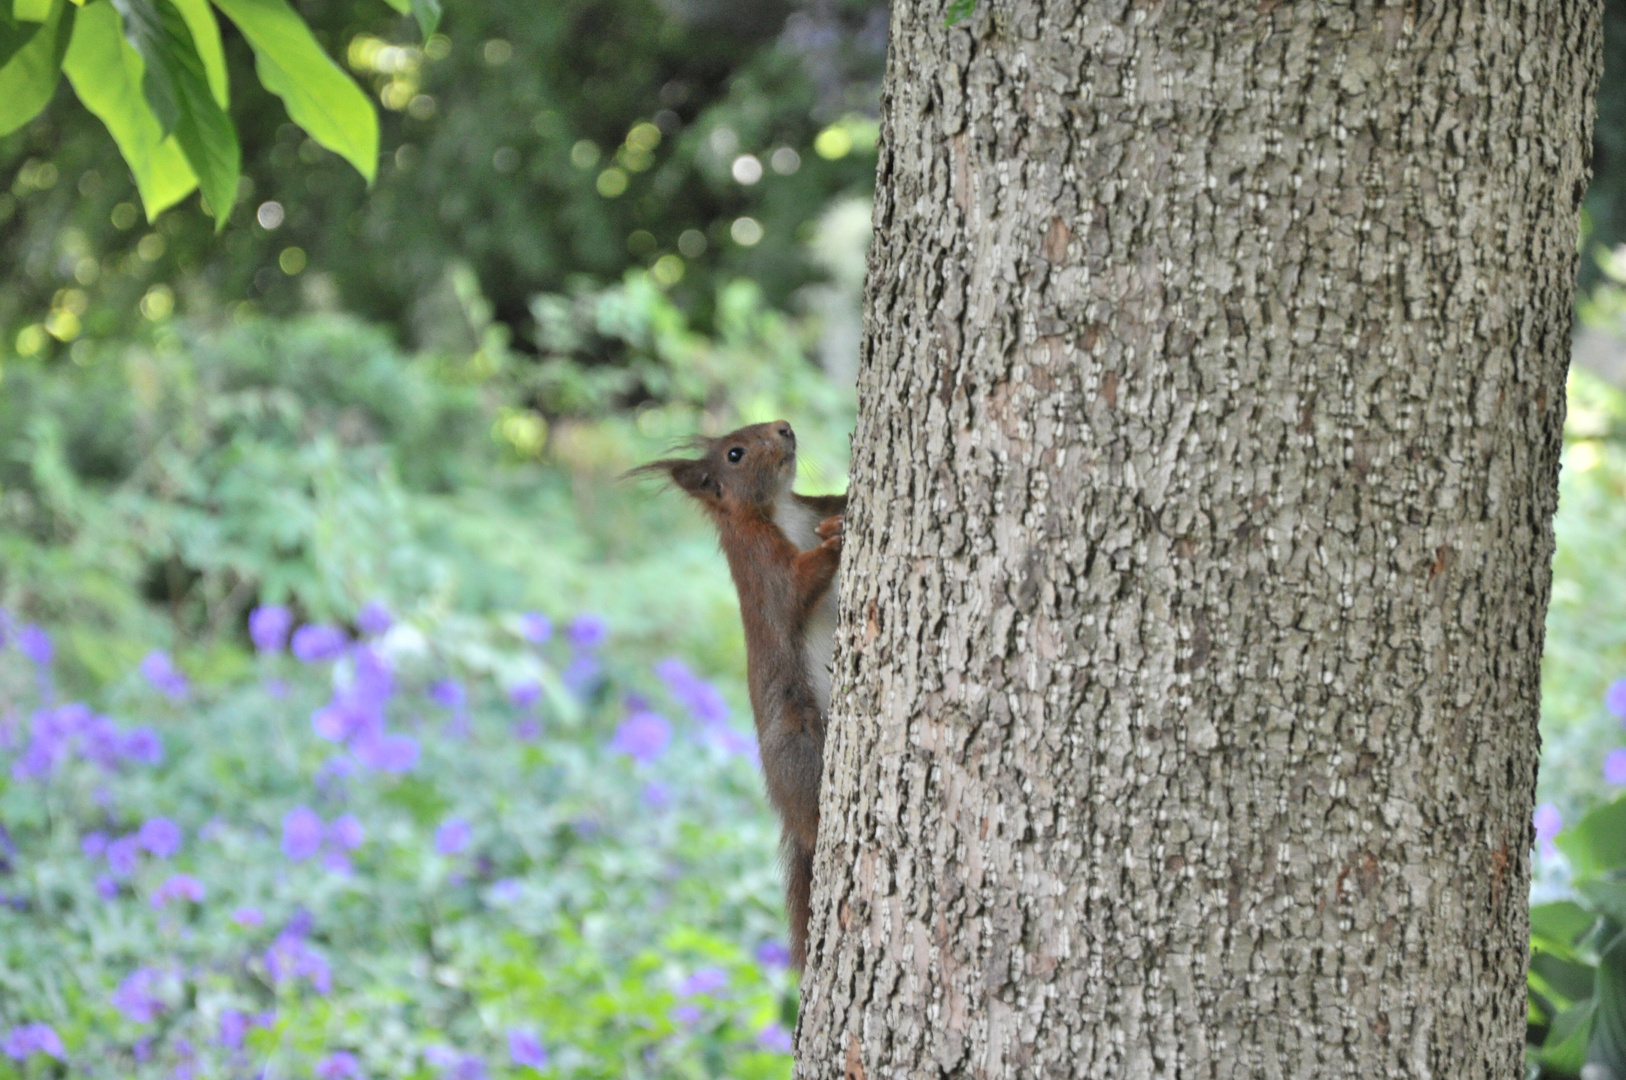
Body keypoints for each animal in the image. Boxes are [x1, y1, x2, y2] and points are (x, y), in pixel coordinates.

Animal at [627, 416, 845, 962]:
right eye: (735, 454)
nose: (784, 426)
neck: (782, 506)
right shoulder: (759, 563)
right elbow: (793, 586)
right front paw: (835, 543)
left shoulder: (814, 504)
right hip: (797, 739)